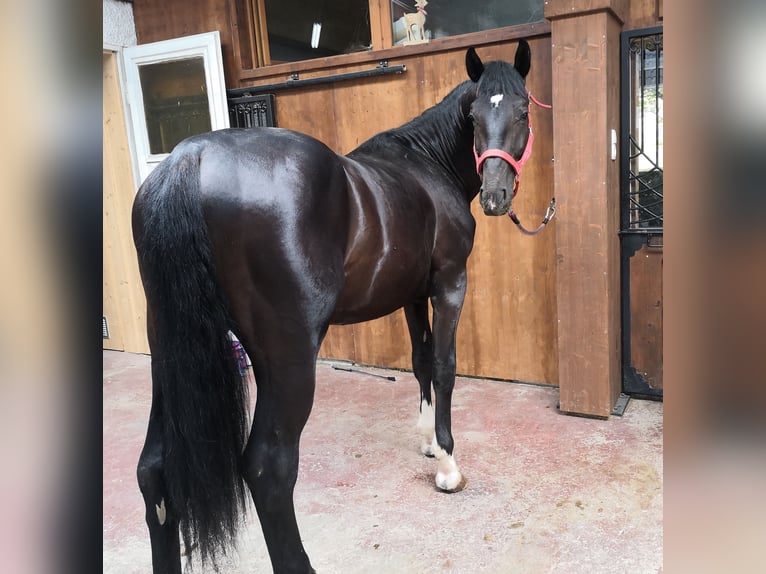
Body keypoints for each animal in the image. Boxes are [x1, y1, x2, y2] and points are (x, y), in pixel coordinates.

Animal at [132, 41, 537, 573]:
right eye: (473, 117)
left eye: (522, 109)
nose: (495, 195)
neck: (427, 166)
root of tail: (189, 157)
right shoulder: (450, 283)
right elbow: (445, 366)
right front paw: (448, 464)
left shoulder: (411, 293)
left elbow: (421, 362)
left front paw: (428, 441)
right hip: (287, 359)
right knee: (268, 470)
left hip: (170, 353)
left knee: (154, 470)